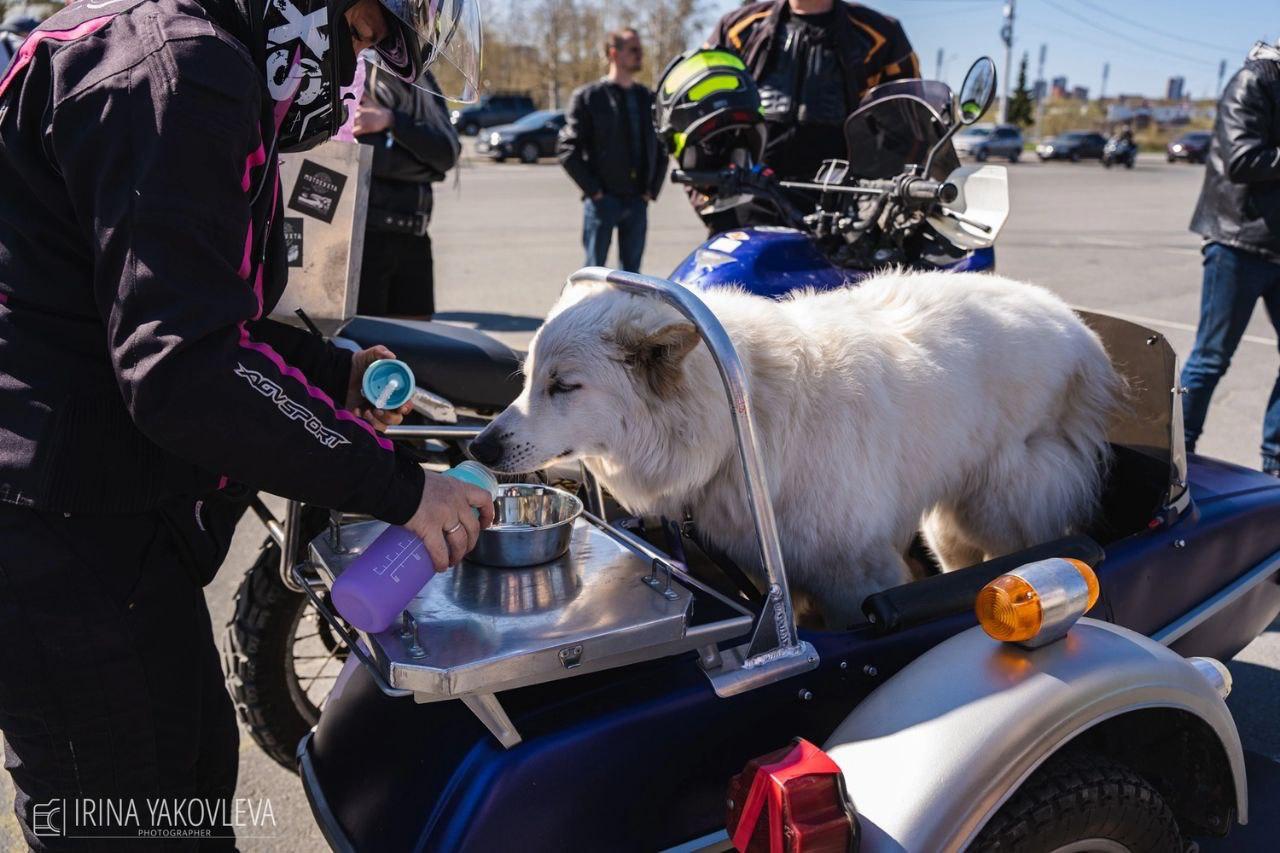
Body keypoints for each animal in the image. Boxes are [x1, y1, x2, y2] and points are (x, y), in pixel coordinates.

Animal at [473, 272, 1121, 625]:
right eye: (529, 379)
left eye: (563, 386)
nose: (479, 447)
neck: (744, 417)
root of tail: (1079, 326)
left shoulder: (857, 577)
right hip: (949, 527)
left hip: (994, 514)